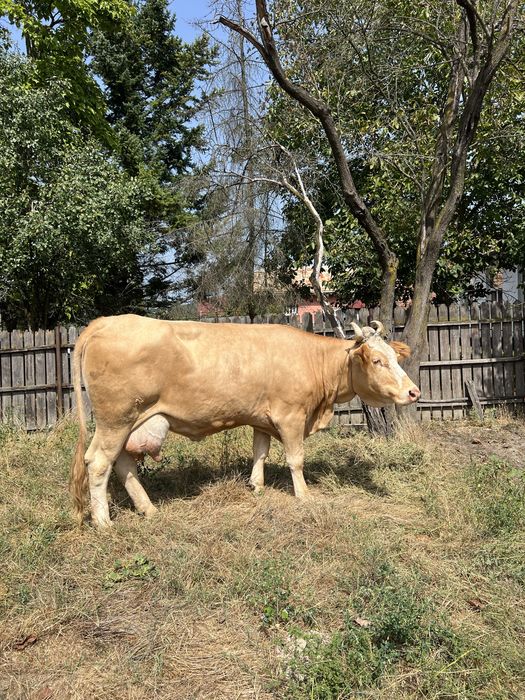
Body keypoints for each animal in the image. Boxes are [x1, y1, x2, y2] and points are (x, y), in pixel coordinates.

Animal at [70, 315, 420, 527]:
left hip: (126, 423)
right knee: (98, 463)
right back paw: (104, 522)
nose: (414, 391)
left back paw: (148, 508)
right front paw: (304, 495)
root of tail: (106, 322)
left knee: (122, 463)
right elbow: (295, 459)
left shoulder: (262, 419)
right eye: (377, 360)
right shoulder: (291, 416)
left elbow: (260, 452)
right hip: (116, 419)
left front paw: (257, 486)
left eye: (394, 357)